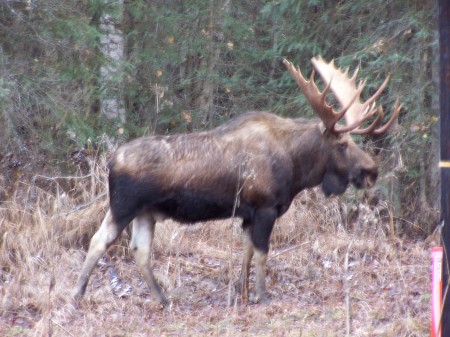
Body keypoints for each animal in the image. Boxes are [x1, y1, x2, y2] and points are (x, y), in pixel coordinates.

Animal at [73, 56, 400, 306]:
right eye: (342, 144)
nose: (371, 171)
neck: (296, 168)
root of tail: (111, 161)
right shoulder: (266, 206)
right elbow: (263, 252)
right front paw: (262, 295)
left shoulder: (247, 213)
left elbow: (246, 251)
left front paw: (242, 292)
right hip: (124, 206)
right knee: (98, 240)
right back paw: (77, 295)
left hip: (147, 213)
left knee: (139, 250)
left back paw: (163, 298)